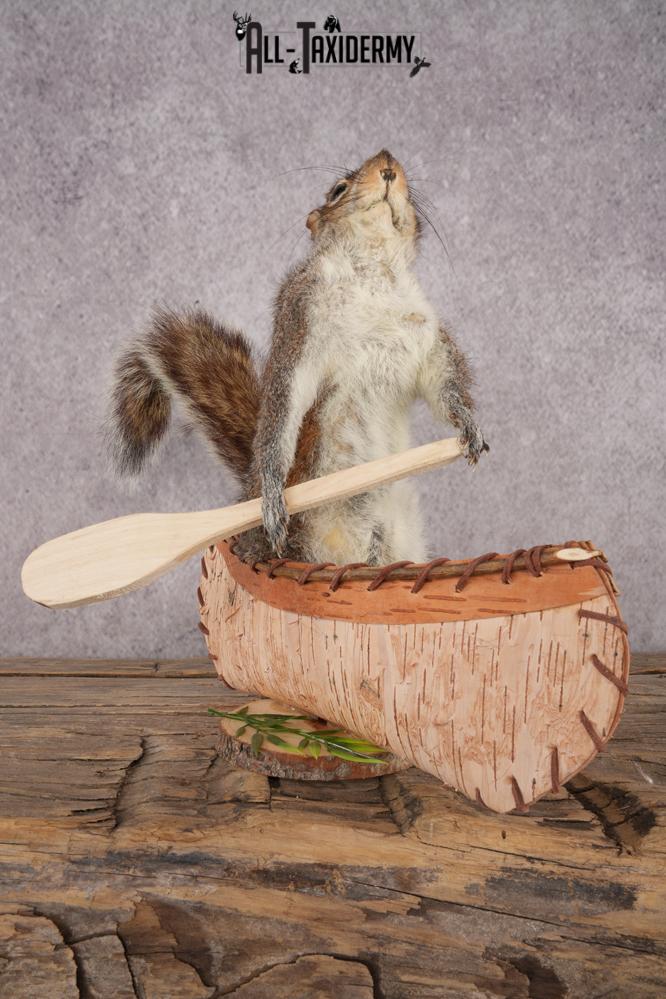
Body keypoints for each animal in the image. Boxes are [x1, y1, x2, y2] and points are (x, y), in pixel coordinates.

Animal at [108, 149, 488, 565]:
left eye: (411, 194)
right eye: (338, 190)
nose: (388, 163)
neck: (372, 268)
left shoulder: (426, 335)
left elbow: (442, 381)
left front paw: (469, 425)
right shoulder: (298, 323)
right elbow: (285, 403)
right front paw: (274, 491)